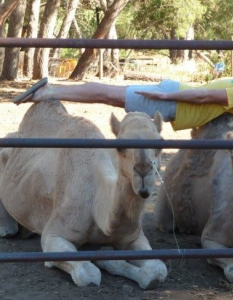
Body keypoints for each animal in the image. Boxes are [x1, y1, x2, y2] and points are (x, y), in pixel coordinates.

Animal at [0, 101, 167, 288]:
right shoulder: (53, 234)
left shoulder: (134, 237)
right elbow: (89, 275)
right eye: (119, 146)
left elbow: (157, 270)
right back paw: (7, 229)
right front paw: (52, 262)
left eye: (161, 143)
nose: (143, 170)